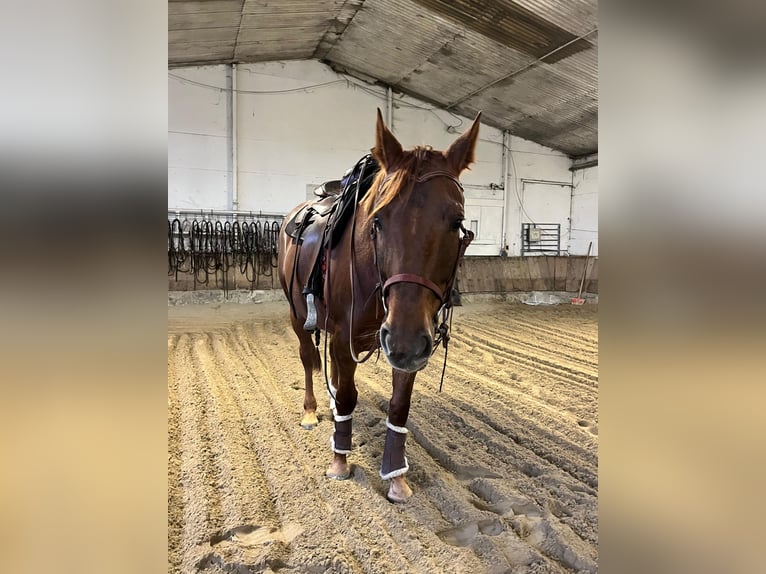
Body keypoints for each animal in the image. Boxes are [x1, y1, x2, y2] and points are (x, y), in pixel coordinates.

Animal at [278, 109, 480, 503]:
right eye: (378, 221)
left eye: (457, 222)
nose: (404, 339)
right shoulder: (347, 336)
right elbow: (348, 395)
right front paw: (339, 461)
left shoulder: (409, 341)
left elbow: (398, 406)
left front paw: (396, 476)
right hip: (298, 316)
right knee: (309, 360)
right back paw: (311, 411)